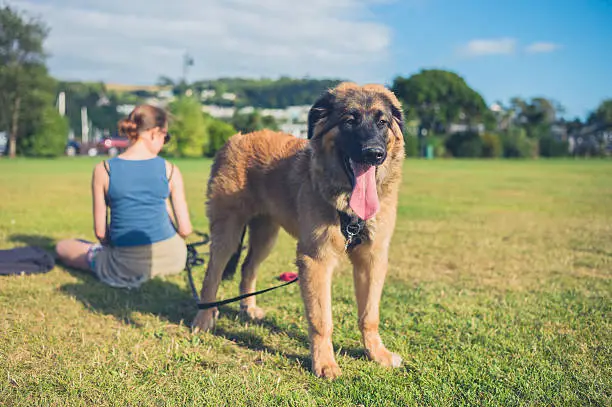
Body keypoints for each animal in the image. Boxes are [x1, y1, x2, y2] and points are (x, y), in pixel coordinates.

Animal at [191, 81, 406, 380]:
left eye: (382, 122)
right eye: (349, 120)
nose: (373, 153)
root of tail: (235, 139)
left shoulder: (372, 259)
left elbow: (369, 315)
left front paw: (376, 354)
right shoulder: (316, 260)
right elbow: (321, 319)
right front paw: (324, 363)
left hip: (265, 236)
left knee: (248, 267)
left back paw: (249, 308)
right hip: (228, 234)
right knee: (211, 276)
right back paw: (203, 319)